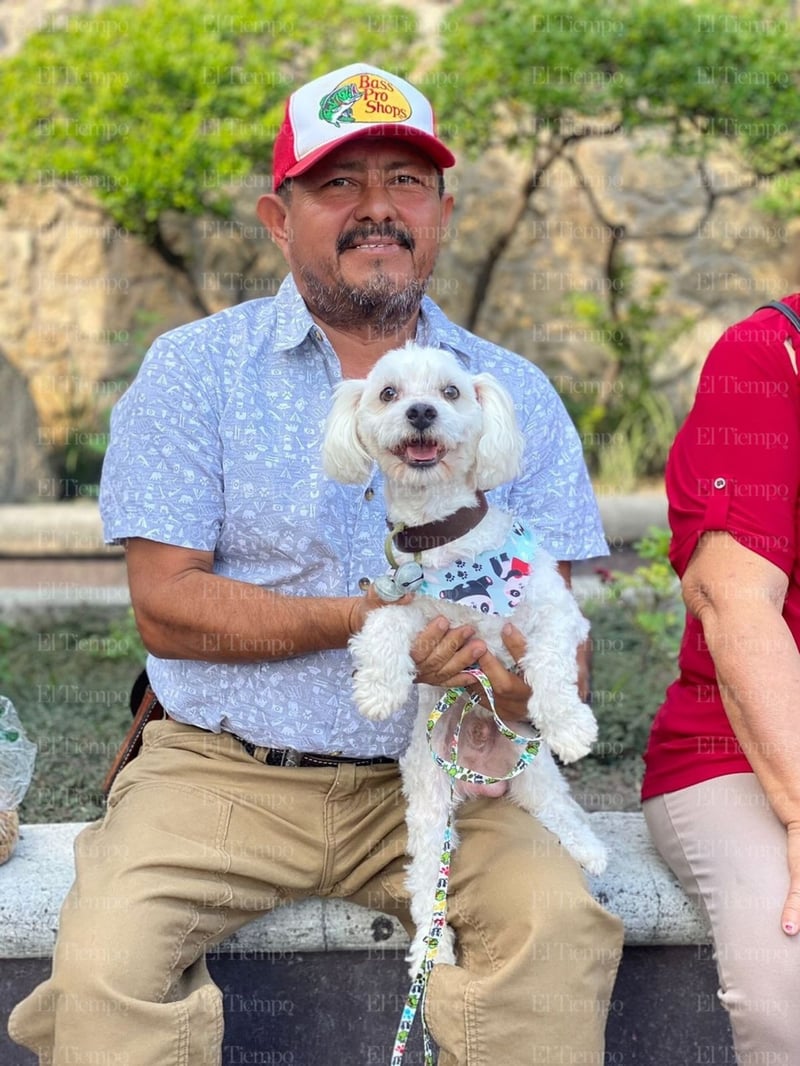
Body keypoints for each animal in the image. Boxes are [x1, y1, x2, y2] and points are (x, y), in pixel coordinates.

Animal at [322, 343, 605, 976]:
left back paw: (588, 848)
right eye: (389, 393)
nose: (421, 412)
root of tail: (478, 774)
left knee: (560, 808)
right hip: (430, 800)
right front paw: (379, 688)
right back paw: (433, 948)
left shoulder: (556, 615)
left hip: (533, 772)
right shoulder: (406, 603)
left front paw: (571, 725)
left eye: (450, 392)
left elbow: (550, 666)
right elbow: (380, 628)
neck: (446, 547)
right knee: (428, 877)